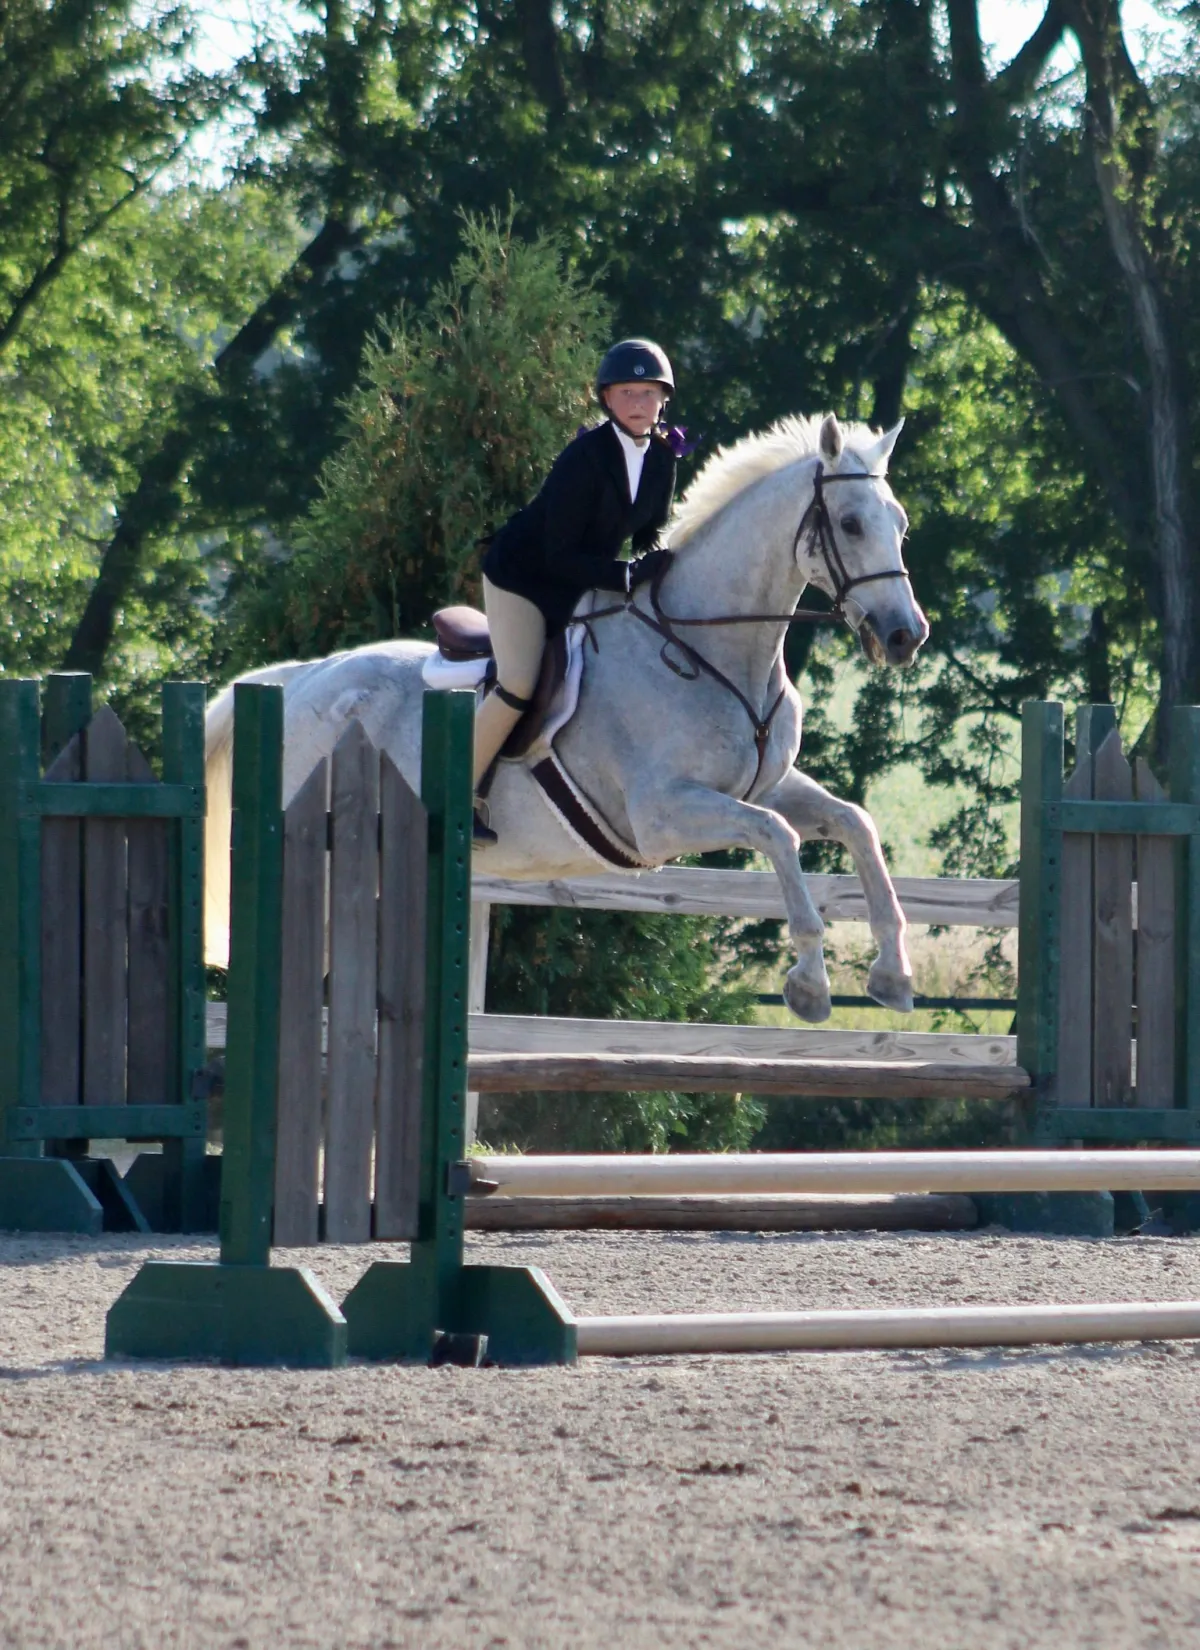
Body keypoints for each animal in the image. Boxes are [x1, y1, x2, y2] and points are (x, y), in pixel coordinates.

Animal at [208, 409, 930, 1016]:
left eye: (899, 524)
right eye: (850, 524)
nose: (906, 636)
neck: (709, 649)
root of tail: (300, 680)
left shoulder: (765, 786)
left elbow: (854, 823)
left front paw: (894, 975)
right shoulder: (662, 816)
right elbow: (779, 836)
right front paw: (809, 985)